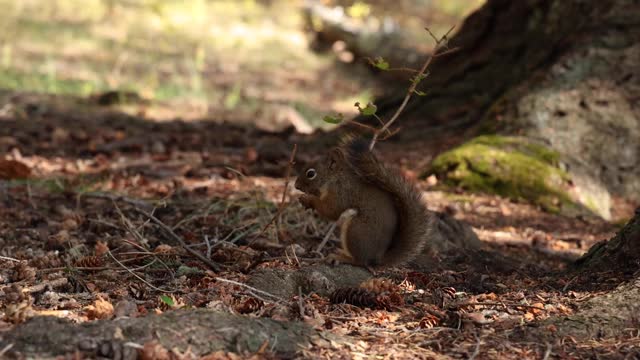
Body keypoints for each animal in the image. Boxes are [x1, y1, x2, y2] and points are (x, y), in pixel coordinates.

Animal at [296, 138, 436, 268]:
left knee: (360, 261)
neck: (336, 177)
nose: (296, 185)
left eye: (311, 173)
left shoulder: (342, 192)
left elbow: (332, 211)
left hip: (356, 230)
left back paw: (340, 257)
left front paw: (308, 199)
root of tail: (377, 257)